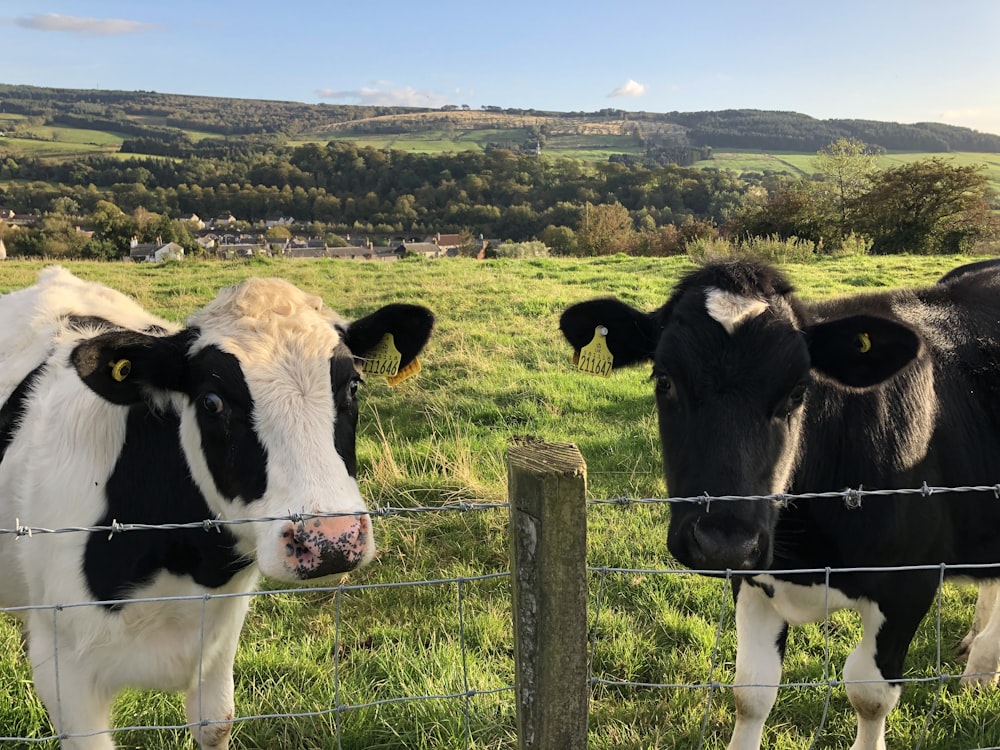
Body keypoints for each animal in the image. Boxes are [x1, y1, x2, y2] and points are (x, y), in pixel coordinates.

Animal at [0, 268, 434, 748]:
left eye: (353, 385)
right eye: (212, 402)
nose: (332, 541)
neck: (186, 565)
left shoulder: (218, 643)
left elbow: (216, 724)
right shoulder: (63, 672)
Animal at [560, 260, 1000, 750]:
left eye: (797, 392)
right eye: (665, 380)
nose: (721, 543)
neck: (805, 558)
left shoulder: (910, 584)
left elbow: (869, 694)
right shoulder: (753, 578)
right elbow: (751, 690)